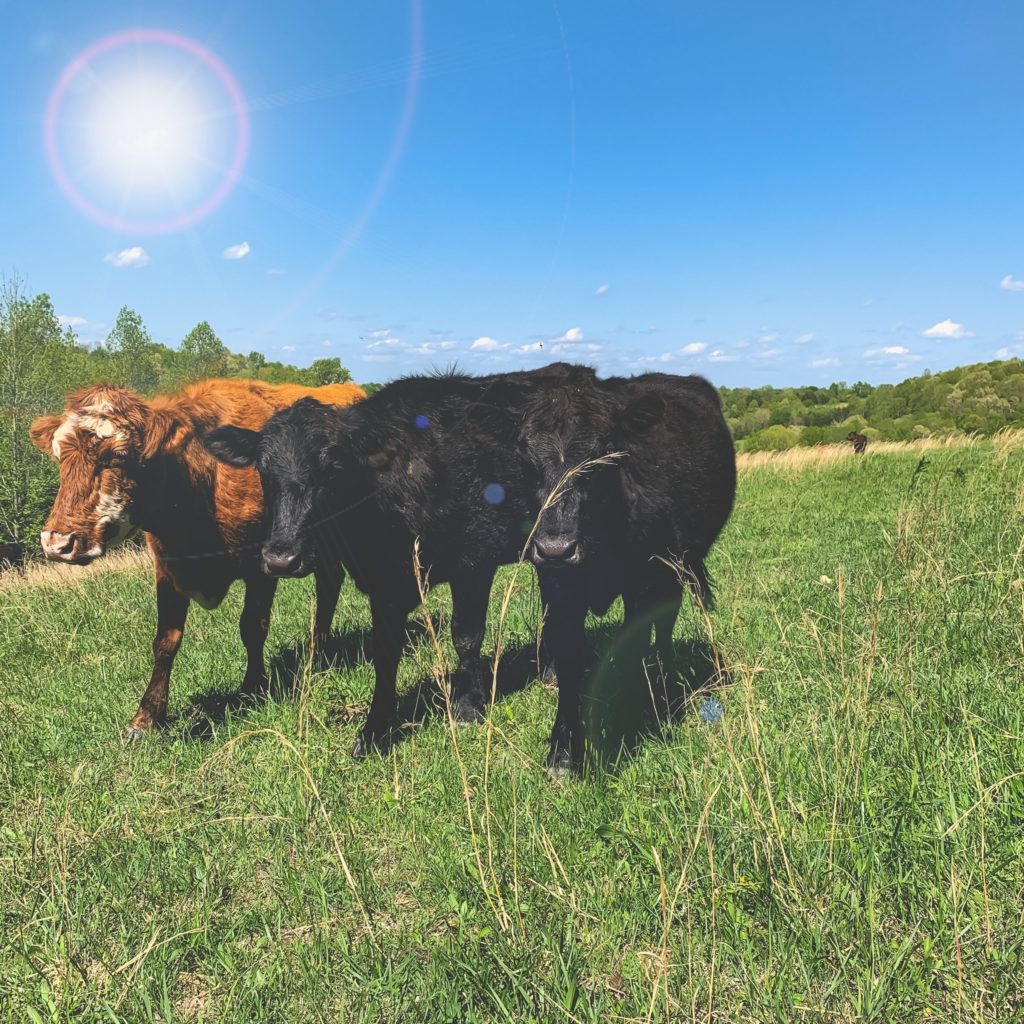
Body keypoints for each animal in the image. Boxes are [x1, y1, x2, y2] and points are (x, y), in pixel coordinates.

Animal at [29, 376, 366, 737]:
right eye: (58, 456)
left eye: (118, 456)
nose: (57, 542)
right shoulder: (167, 568)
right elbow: (166, 641)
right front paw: (146, 717)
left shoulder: (264, 564)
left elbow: (253, 626)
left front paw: (253, 688)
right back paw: (319, 654)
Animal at [205, 364, 593, 757]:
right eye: (263, 472)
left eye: (333, 470)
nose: (281, 557)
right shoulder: (384, 584)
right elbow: (386, 650)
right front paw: (375, 729)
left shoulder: (474, 563)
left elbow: (466, 637)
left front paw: (469, 705)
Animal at [520, 372, 737, 770]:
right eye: (524, 455)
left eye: (604, 454)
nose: (556, 548)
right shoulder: (558, 588)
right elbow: (568, 658)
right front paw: (562, 751)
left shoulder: (648, 582)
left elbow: (632, 642)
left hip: (675, 571)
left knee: (664, 626)